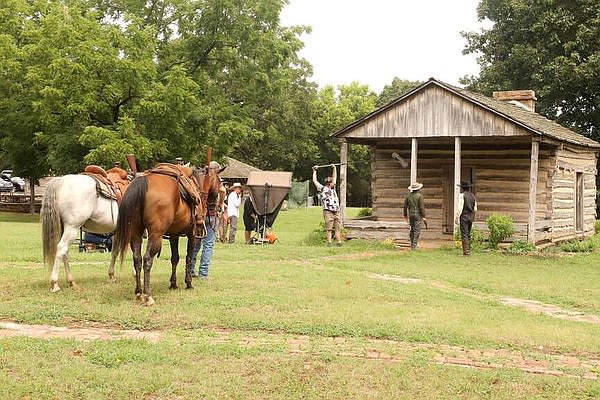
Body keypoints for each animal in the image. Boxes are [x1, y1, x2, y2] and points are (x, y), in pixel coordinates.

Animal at [112, 164, 220, 304]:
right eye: (219, 181)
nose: (214, 206)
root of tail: (143, 181)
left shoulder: (174, 235)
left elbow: (175, 259)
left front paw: (173, 283)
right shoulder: (192, 235)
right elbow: (189, 258)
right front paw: (189, 283)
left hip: (135, 234)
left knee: (137, 259)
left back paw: (139, 293)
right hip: (155, 236)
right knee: (147, 259)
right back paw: (148, 295)